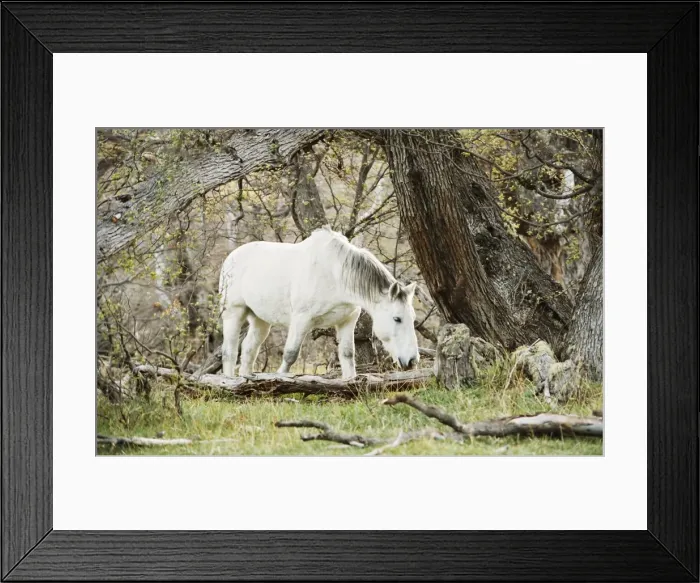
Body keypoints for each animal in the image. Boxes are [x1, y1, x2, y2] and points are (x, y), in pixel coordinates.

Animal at [218, 225, 420, 379]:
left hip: (260, 320)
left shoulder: (347, 321)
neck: (335, 274)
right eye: (397, 319)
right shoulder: (301, 320)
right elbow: (290, 354)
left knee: (248, 348)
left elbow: (347, 354)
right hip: (234, 312)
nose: (412, 361)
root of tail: (230, 258)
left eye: (413, 318)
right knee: (229, 351)